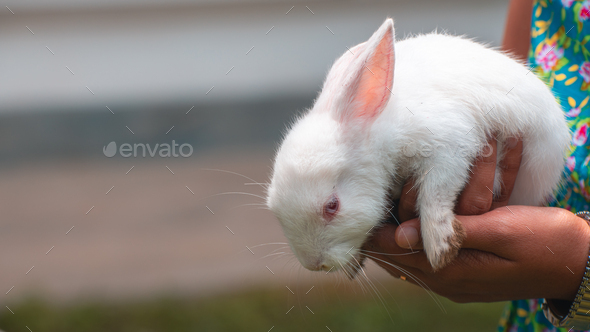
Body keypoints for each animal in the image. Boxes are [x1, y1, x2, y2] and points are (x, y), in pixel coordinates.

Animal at [268, 17, 572, 272]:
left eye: (332, 206)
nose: (313, 264)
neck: (381, 132)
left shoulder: (450, 147)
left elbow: (435, 194)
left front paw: (440, 246)